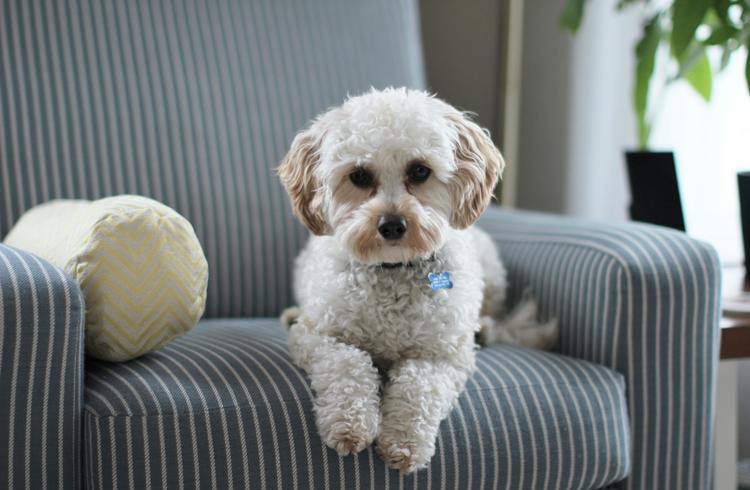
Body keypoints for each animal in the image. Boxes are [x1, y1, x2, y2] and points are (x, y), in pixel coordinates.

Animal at [278, 87, 560, 470]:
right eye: (359, 176)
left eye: (420, 171)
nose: (392, 225)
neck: (393, 270)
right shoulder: (318, 336)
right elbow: (348, 364)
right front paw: (350, 424)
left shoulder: (441, 355)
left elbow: (419, 386)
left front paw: (404, 441)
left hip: (491, 272)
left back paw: (484, 329)